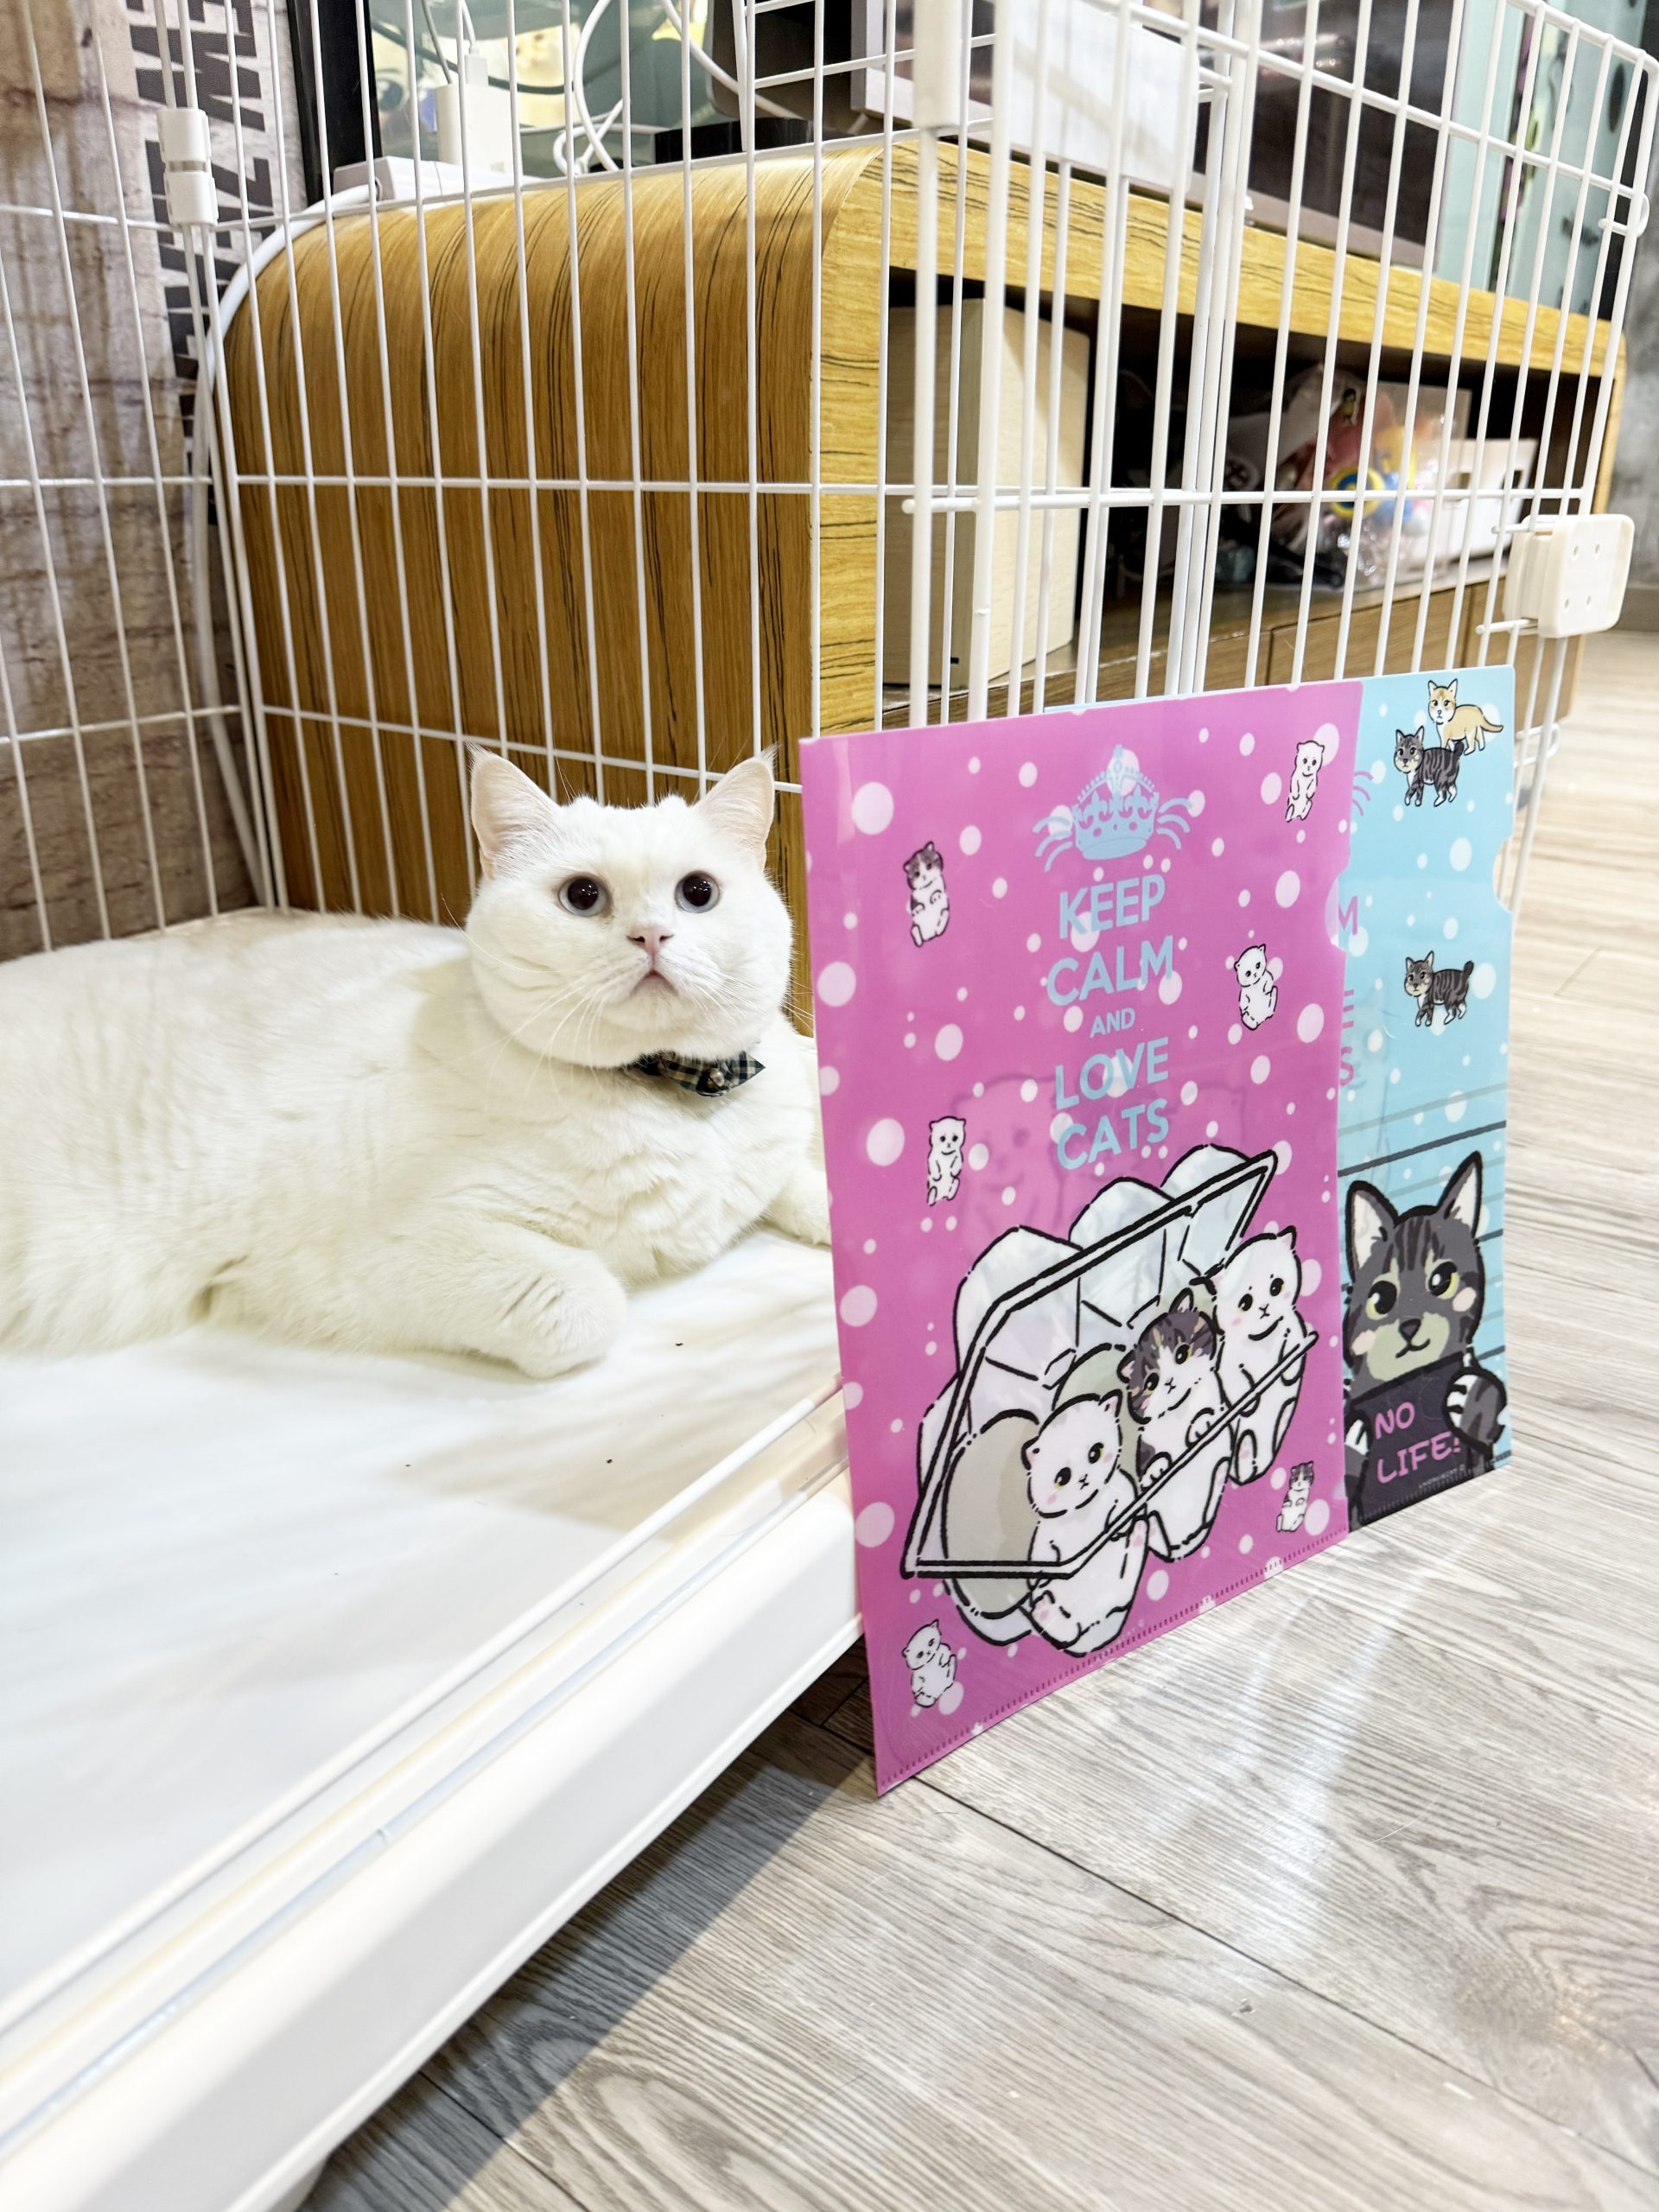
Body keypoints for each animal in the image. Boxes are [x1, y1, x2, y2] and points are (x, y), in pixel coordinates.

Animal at [0, 752, 829, 1377]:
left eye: (699, 892)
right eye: (582, 896)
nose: (653, 935)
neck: (677, 1095)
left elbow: (796, 1178)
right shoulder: (373, 1259)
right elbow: (586, 1304)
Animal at [1024, 1393, 1148, 1654]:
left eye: (1095, 1453)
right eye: (1062, 1478)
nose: (1083, 1479)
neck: (1085, 1508)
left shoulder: (1120, 1486)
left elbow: (1123, 1500)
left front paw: (1120, 1523)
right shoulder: (1046, 1533)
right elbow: (1041, 1555)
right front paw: (1037, 1579)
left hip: (1121, 1584)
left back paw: (1138, 1533)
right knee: (1065, 1627)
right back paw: (1043, 1612)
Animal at [1118, 1289, 1230, 1560]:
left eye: (1182, 1353)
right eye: (1151, 1382)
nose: (1169, 1382)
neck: (1179, 1410)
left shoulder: (1217, 1401)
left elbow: (1207, 1413)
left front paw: (1201, 1425)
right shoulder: (1145, 1444)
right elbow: (1150, 1460)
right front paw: (1155, 1471)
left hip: (1220, 1472)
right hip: (1152, 1522)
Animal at [1208, 1228, 1313, 1484]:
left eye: (1276, 1286)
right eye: (1245, 1303)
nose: (1264, 1308)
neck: (1263, 1337)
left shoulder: (1292, 1326)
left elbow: (1294, 1342)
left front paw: (1290, 1370)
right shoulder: (1230, 1362)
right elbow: (1235, 1380)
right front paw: (1250, 1400)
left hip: (1283, 1413)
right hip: (1246, 1436)